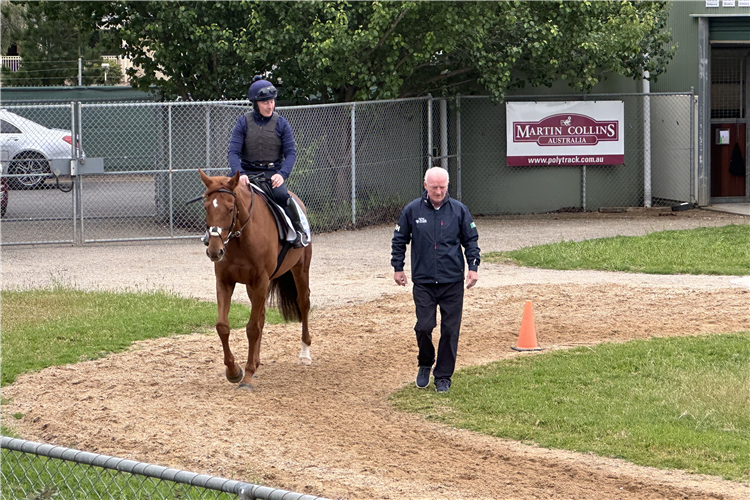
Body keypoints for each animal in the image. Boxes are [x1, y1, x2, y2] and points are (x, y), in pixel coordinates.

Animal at [198, 170, 312, 388]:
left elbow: (251, 328)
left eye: (230, 208)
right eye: (206, 207)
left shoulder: (260, 281)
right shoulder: (225, 282)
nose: (214, 250)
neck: (241, 239)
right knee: (262, 318)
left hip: (300, 269)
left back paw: (304, 354)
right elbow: (223, 326)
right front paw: (234, 371)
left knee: (303, 303)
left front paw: (248, 375)